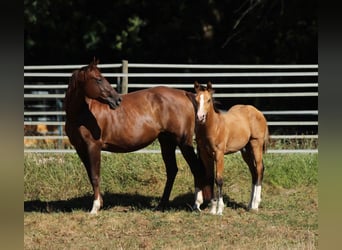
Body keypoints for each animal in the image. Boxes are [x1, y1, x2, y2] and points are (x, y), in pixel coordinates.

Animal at [64, 59, 208, 214]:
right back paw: (161, 205)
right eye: (98, 79)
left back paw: (196, 205)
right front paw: (99, 203)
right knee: (172, 170)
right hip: (166, 141)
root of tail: (185, 94)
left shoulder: (93, 147)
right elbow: (91, 176)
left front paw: (95, 208)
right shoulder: (81, 149)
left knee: (196, 168)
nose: (117, 100)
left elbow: (95, 176)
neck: (82, 113)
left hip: (183, 142)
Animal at [192, 82, 270, 215]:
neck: (214, 127)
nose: (200, 117)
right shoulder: (205, 155)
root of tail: (258, 112)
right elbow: (210, 178)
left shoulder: (219, 154)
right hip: (246, 151)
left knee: (259, 169)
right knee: (254, 172)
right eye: (196, 100)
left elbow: (219, 179)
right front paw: (212, 209)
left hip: (256, 144)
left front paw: (219, 210)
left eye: (208, 100)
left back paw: (255, 205)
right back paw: (249, 205)